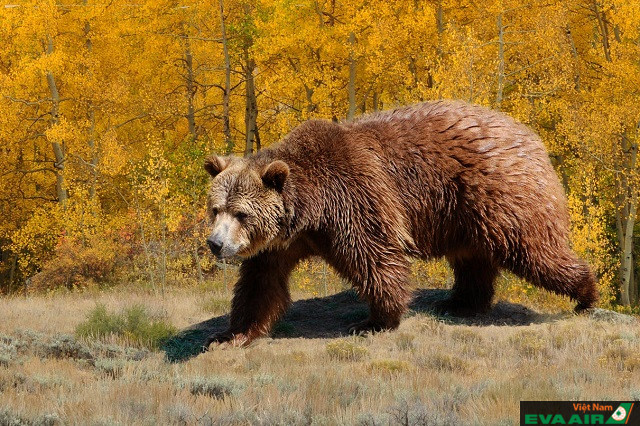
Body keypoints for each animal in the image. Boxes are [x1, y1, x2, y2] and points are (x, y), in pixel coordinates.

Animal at [202, 101, 596, 348]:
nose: (216, 243)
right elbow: (261, 285)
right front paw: (229, 336)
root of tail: (531, 136)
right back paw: (460, 302)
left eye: (242, 214)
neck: (309, 211)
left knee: (533, 249)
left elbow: (375, 256)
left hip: (498, 190)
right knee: (473, 258)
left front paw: (374, 320)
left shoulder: (353, 198)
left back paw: (586, 293)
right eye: (216, 209)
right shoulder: (280, 244)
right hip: (464, 213)